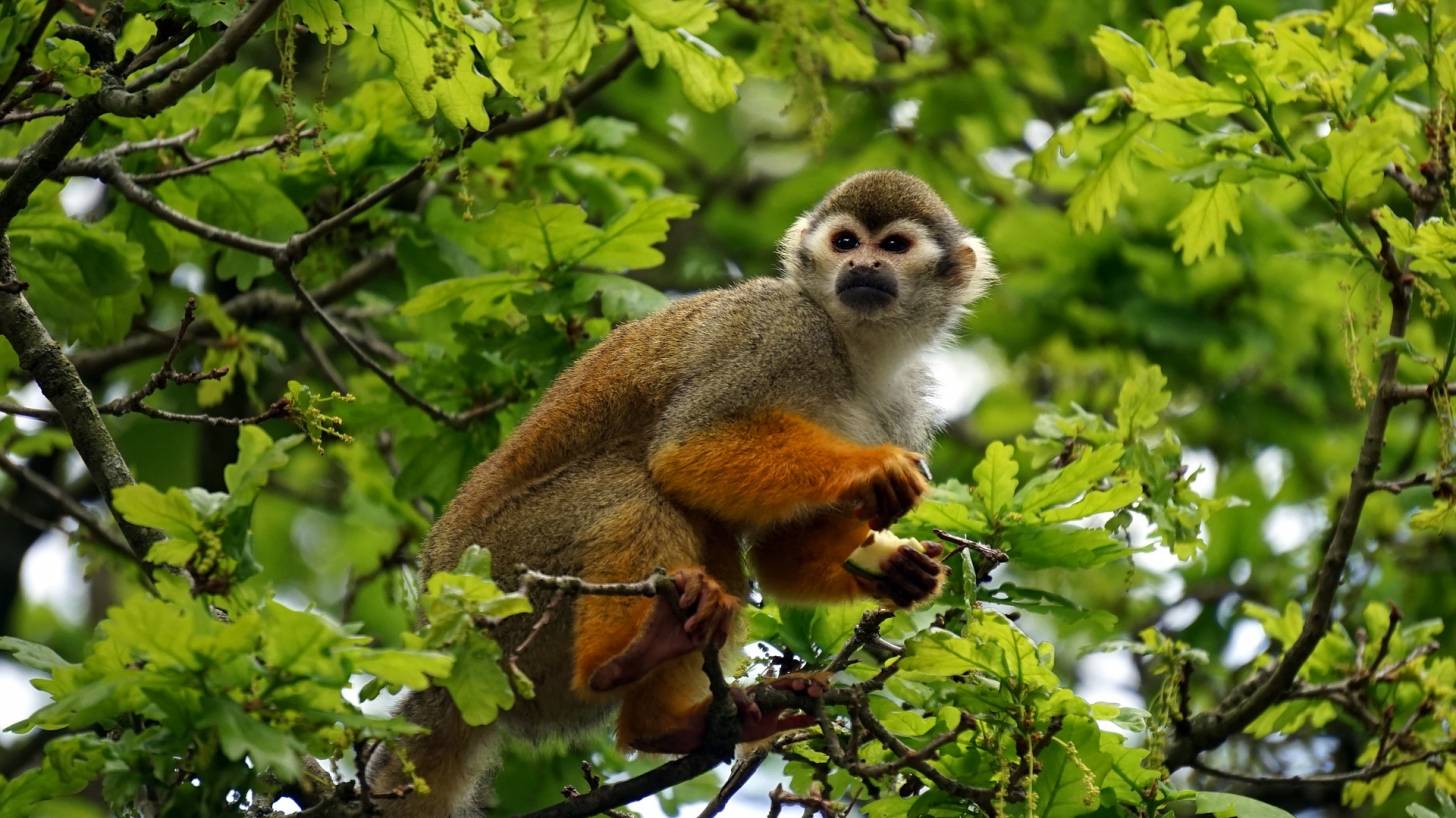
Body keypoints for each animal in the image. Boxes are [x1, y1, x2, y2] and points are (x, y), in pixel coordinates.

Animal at [367, 170, 997, 817]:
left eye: (893, 246)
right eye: (846, 241)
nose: (864, 265)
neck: (855, 350)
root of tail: (442, 635)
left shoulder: (907, 405)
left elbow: (777, 554)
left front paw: (898, 572)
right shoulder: (780, 329)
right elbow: (684, 449)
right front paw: (871, 469)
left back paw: (667, 721)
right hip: (501, 579)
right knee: (635, 485)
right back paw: (623, 660)